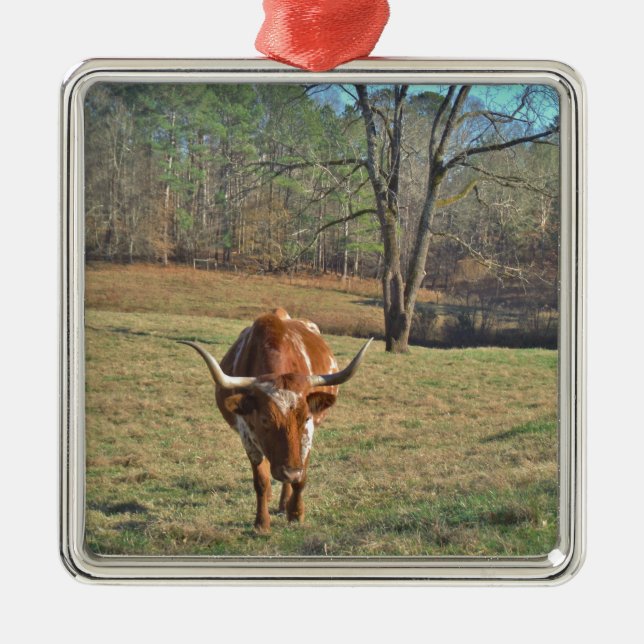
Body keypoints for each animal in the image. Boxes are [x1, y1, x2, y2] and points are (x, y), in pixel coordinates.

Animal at [180, 308, 372, 533]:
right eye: (265, 419)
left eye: (306, 417)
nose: (290, 472)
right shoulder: (247, 437)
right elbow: (261, 481)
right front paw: (261, 523)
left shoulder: (307, 435)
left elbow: (301, 479)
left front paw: (296, 513)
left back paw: (284, 502)